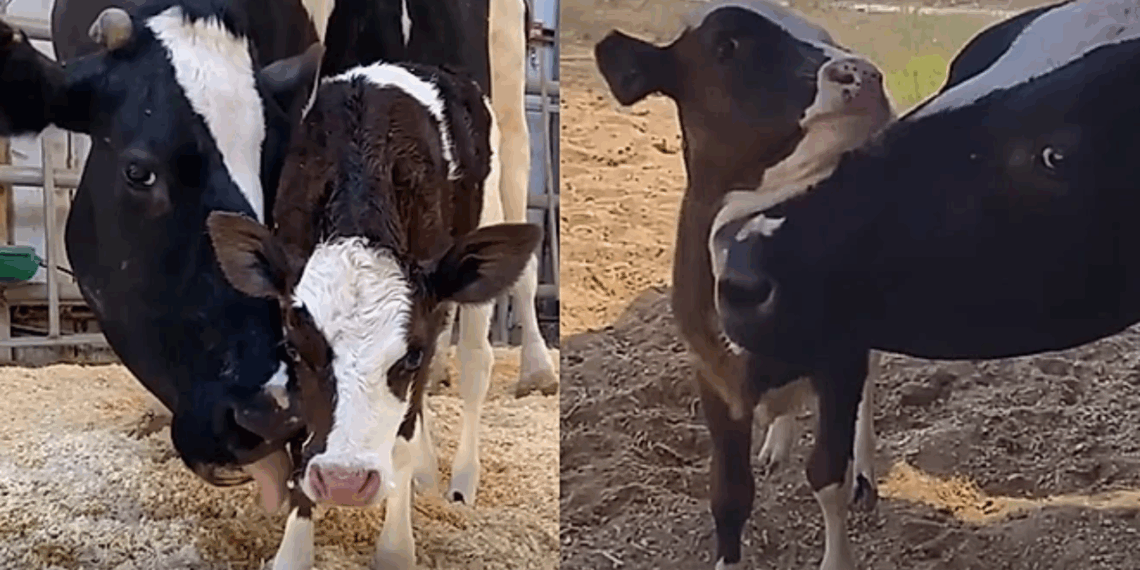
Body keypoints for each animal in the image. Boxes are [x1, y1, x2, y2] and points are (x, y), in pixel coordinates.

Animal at [207, 57, 541, 570]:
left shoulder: (430, 315)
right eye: (295, 350)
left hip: (487, 222)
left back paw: (461, 480)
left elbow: (406, 426)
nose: (344, 482)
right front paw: (294, 550)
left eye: (410, 356)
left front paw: (395, 548)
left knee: (474, 363)